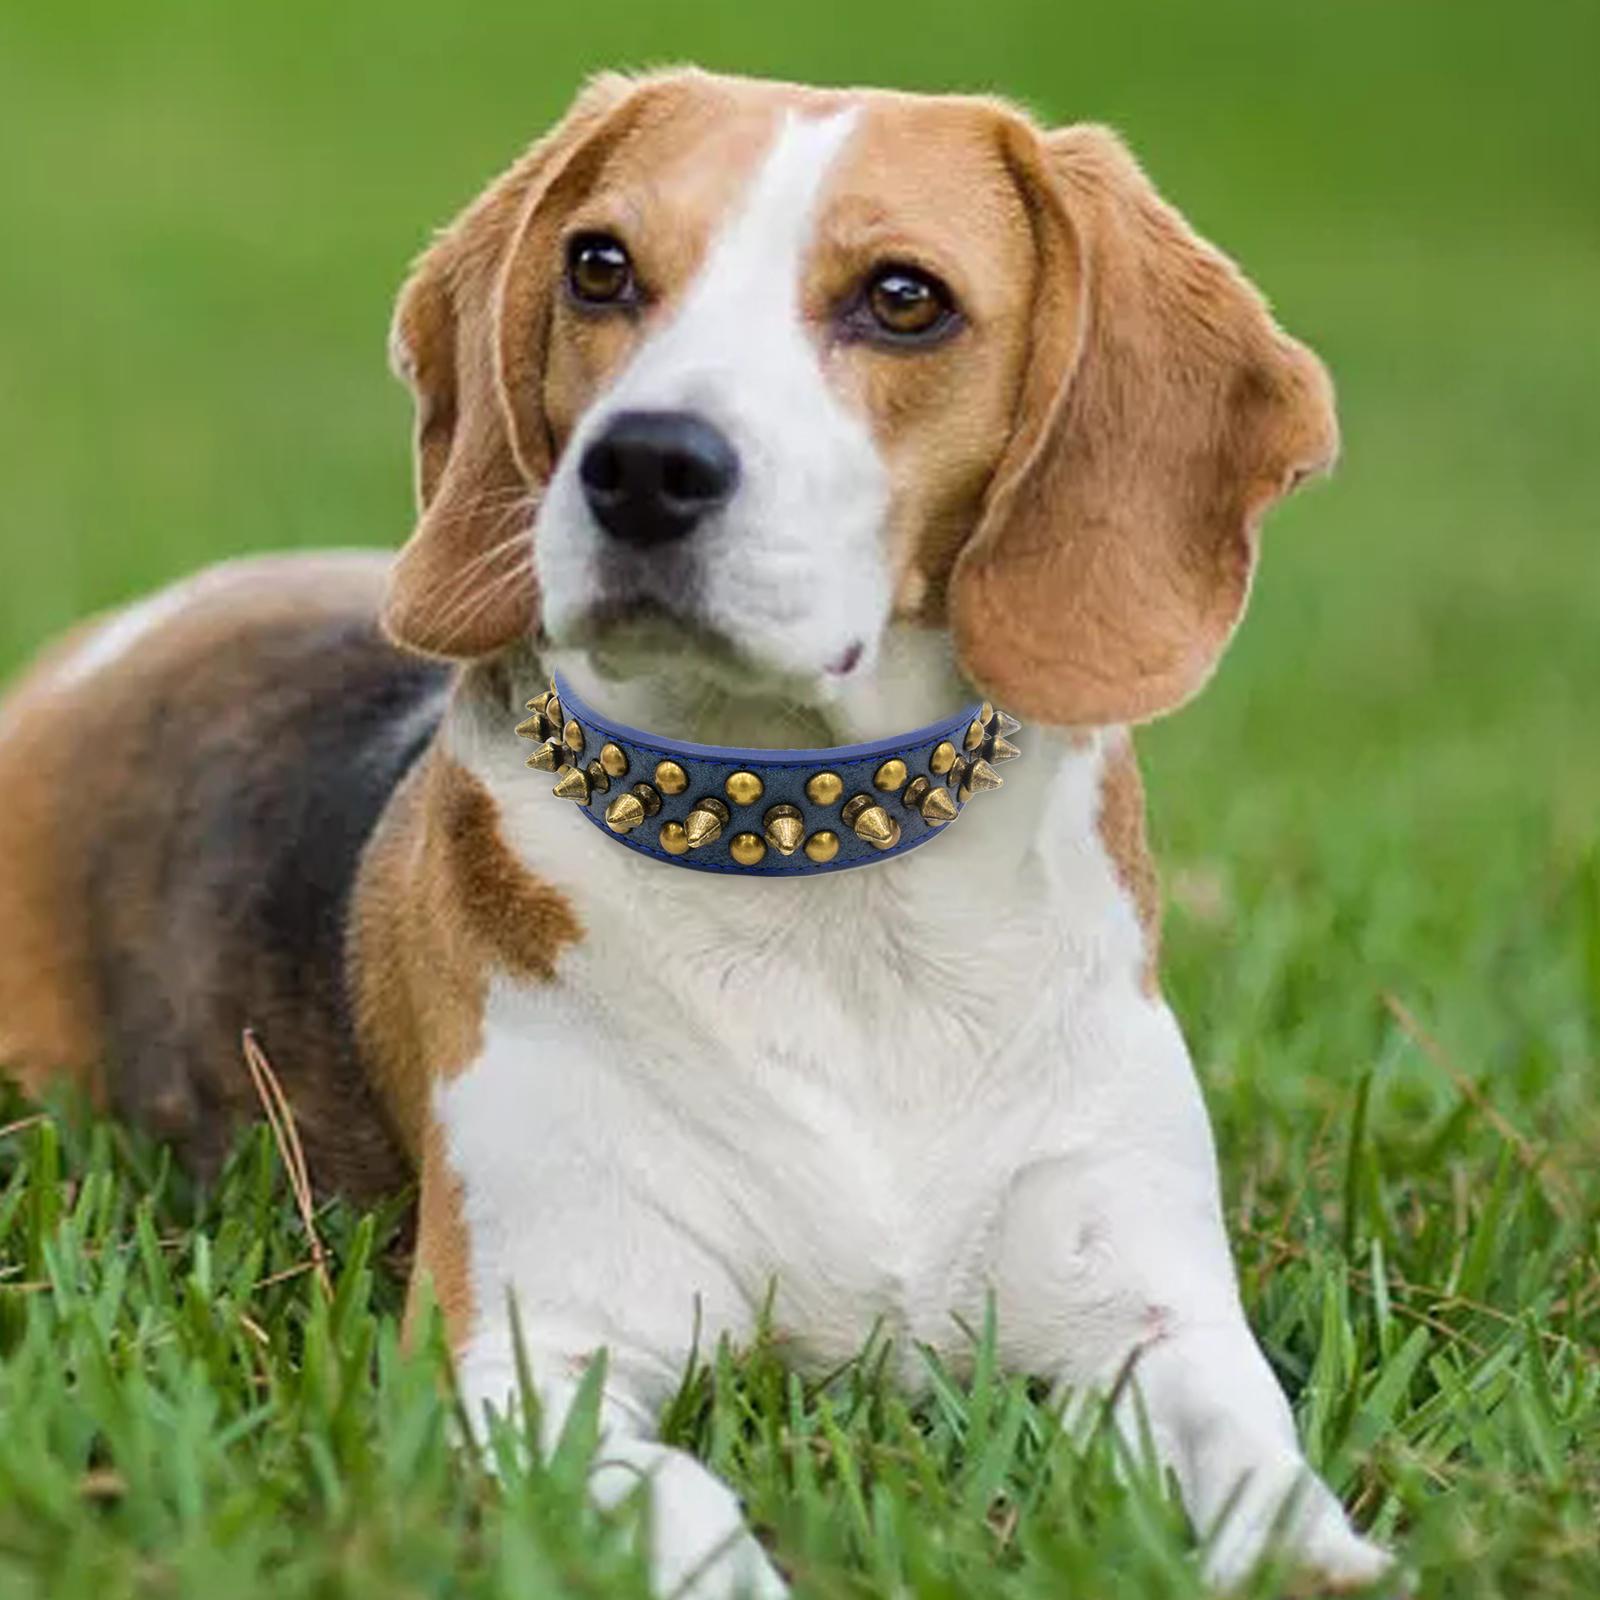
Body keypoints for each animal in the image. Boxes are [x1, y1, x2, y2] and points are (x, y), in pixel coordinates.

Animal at [0, 69, 1391, 1597]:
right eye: (599, 265)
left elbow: (1256, 1455)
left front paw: (1323, 1558)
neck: (818, 866)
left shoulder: (1148, 1307)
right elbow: (684, 1503)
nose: (645, 465)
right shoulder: (534, 1358)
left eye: (903, 298)